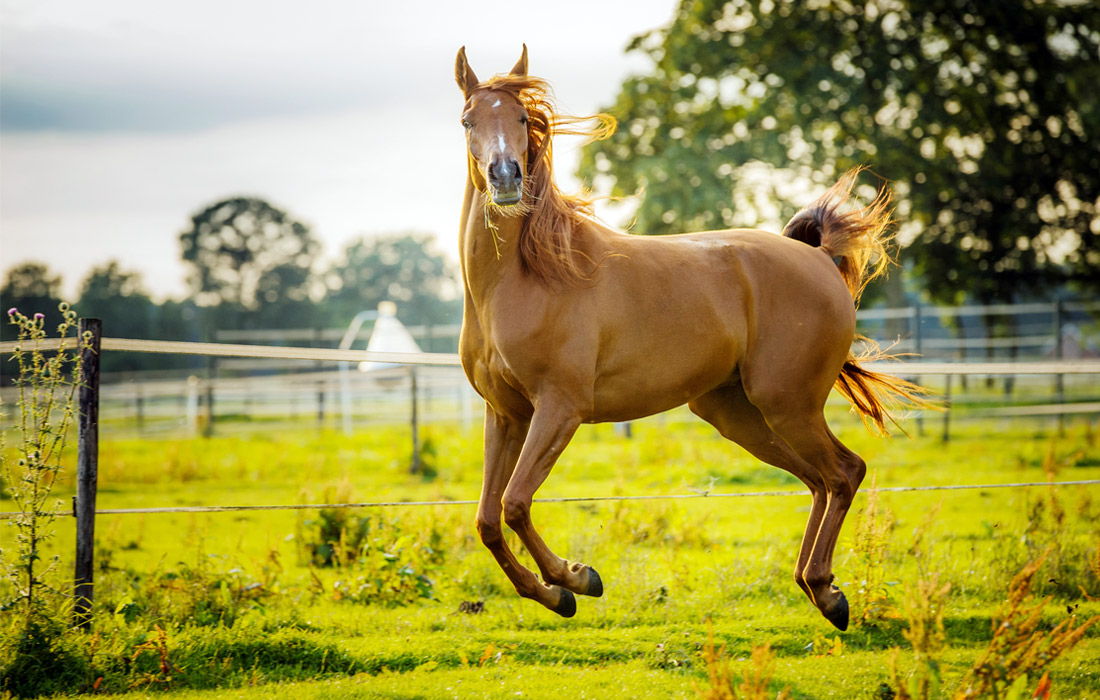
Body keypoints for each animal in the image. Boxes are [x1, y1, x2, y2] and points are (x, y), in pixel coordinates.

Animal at [451, 46, 924, 629]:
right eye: (468, 120)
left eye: (521, 118)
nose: (505, 176)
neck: (523, 279)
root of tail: (816, 258)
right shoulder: (506, 414)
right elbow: (487, 520)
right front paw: (555, 595)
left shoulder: (559, 407)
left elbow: (515, 503)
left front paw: (577, 579)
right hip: (738, 415)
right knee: (820, 479)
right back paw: (819, 588)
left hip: (787, 405)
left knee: (843, 472)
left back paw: (826, 592)